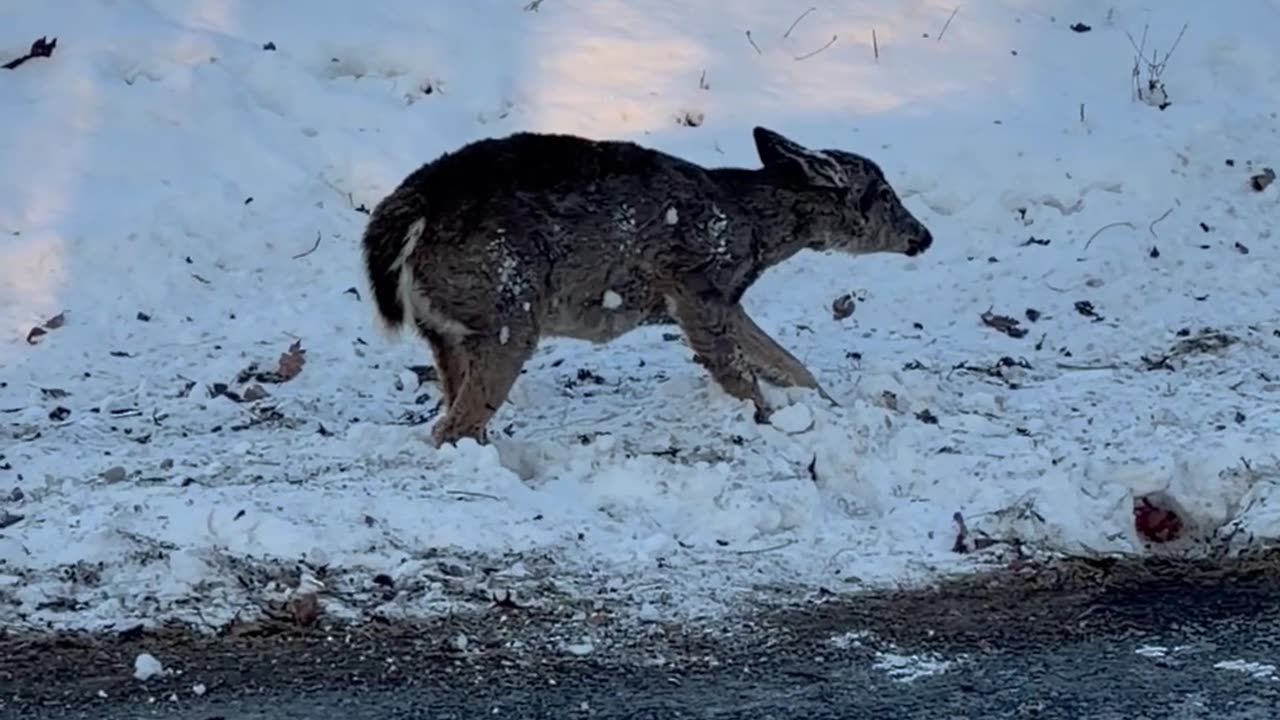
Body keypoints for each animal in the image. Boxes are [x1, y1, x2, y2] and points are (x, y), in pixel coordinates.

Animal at [361, 126, 933, 447]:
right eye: (883, 194)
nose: (923, 236)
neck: (753, 230)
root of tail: (412, 209)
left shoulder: (725, 298)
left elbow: (788, 362)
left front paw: (825, 406)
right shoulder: (695, 284)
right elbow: (740, 373)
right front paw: (768, 421)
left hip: (446, 326)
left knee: (453, 410)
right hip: (508, 310)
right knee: (452, 425)